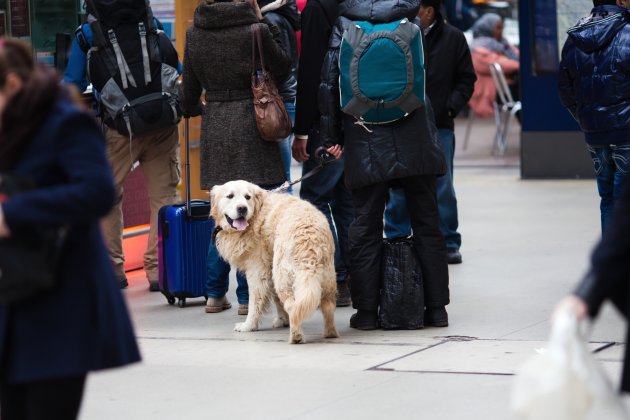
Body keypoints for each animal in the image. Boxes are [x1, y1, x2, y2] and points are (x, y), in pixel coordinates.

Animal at [210, 179, 340, 342]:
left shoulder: (257, 271)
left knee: (292, 306)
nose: (242, 209)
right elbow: (276, 300)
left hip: (282, 277)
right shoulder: (269, 267)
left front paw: (248, 326)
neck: (256, 215)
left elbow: (255, 302)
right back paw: (330, 333)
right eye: (230, 196)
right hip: (327, 279)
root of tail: (309, 240)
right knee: (328, 306)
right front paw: (282, 320)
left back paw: (296, 336)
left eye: (247, 197)